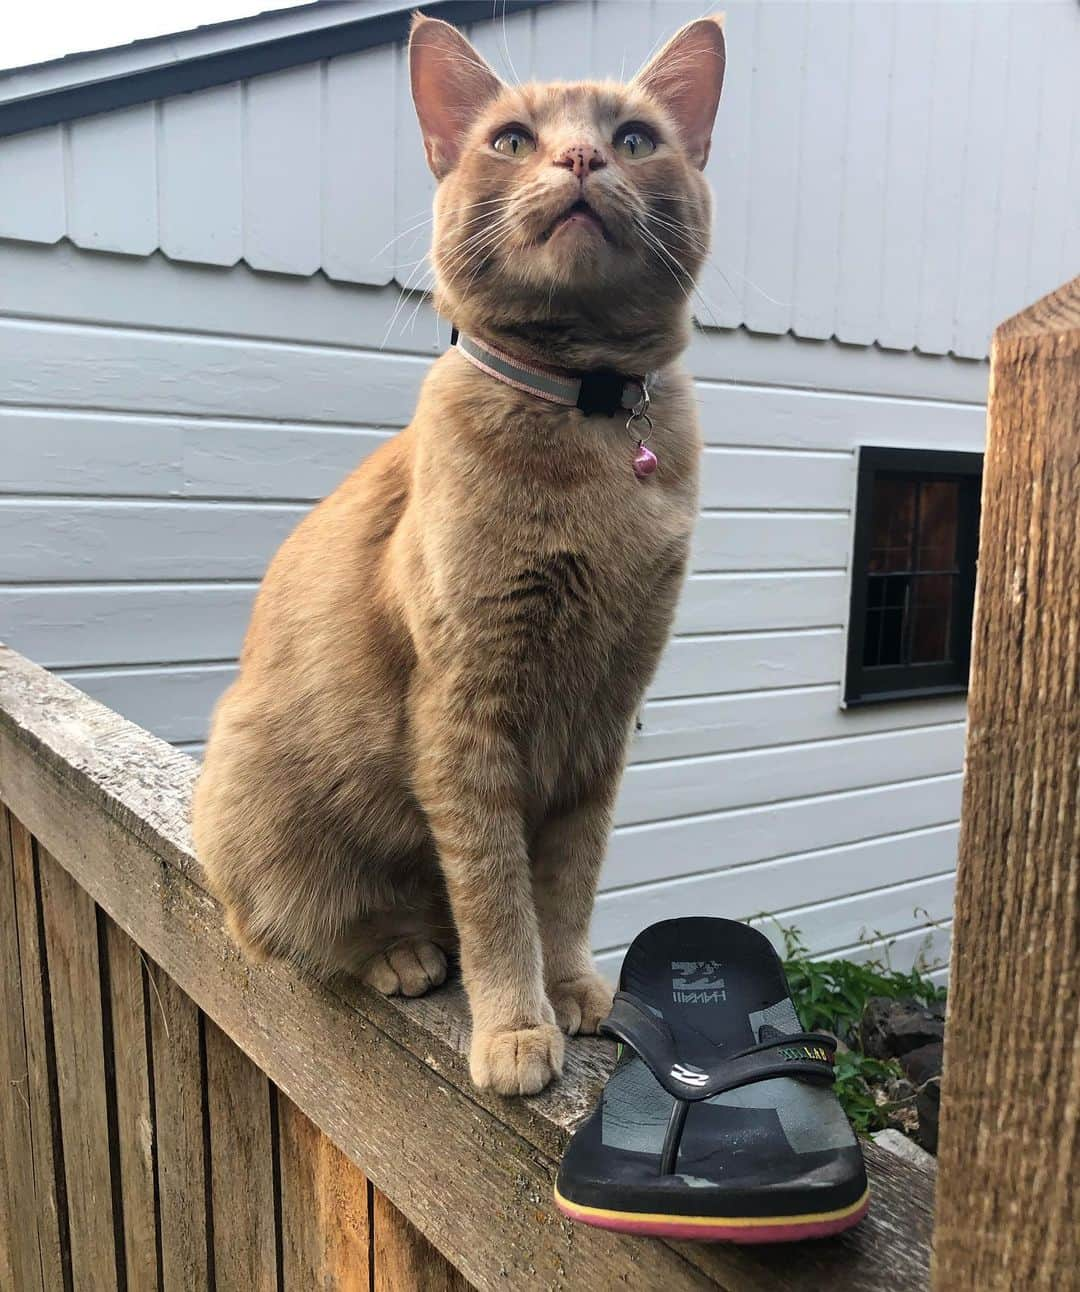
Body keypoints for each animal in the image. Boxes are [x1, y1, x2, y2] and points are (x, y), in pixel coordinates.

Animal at [193, 15, 723, 1095]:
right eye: (512, 139)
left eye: (635, 138)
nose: (580, 157)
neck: (588, 420)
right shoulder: (463, 718)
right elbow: (496, 895)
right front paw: (516, 1023)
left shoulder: (604, 718)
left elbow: (566, 880)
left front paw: (570, 984)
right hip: (256, 801)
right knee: (305, 931)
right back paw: (400, 951)